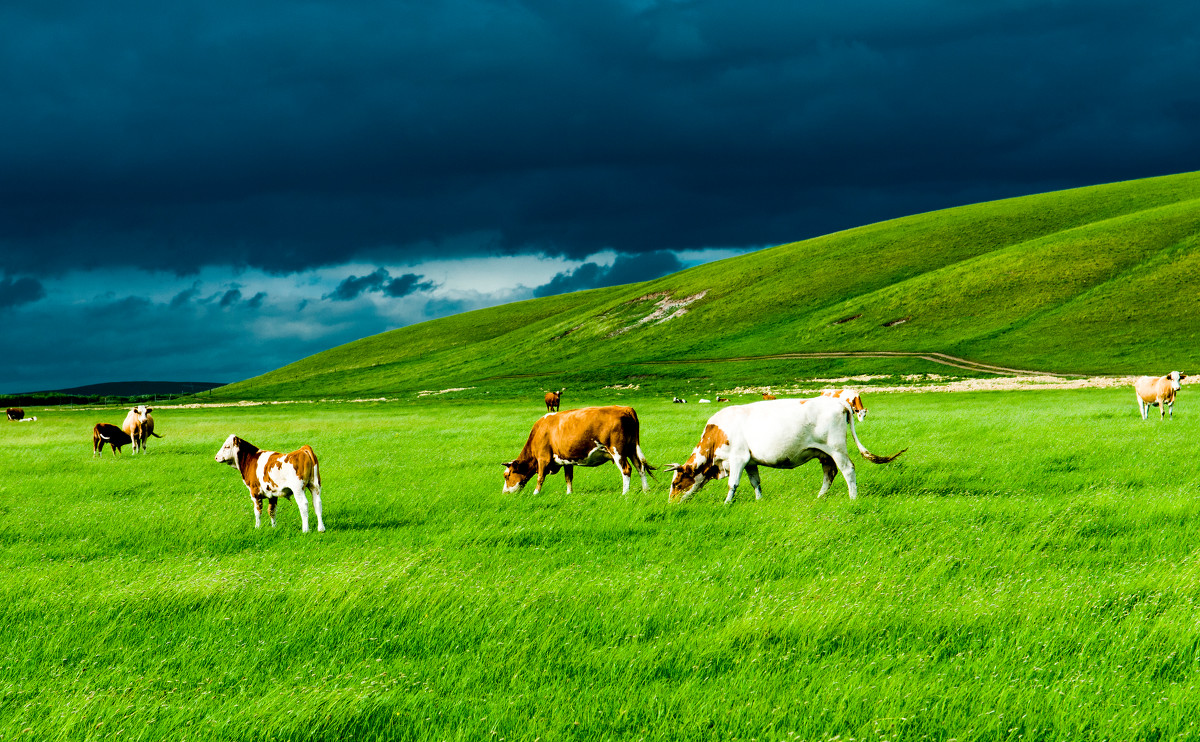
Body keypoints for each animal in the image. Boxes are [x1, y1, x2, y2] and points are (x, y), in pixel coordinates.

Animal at [506, 401, 657, 494]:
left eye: (507, 476)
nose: (504, 492)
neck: (540, 431)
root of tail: (624, 408)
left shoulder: (543, 458)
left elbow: (540, 477)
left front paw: (535, 493)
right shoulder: (566, 460)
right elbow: (568, 478)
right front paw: (569, 493)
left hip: (618, 451)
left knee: (626, 470)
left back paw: (624, 493)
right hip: (632, 449)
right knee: (640, 467)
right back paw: (646, 490)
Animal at [662, 393, 902, 501]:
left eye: (676, 483)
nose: (671, 503)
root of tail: (838, 402)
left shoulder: (738, 458)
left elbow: (733, 484)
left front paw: (727, 503)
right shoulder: (750, 461)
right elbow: (755, 482)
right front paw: (759, 500)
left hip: (836, 449)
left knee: (848, 470)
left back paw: (853, 498)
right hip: (824, 454)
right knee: (830, 473)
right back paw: (819, 497)